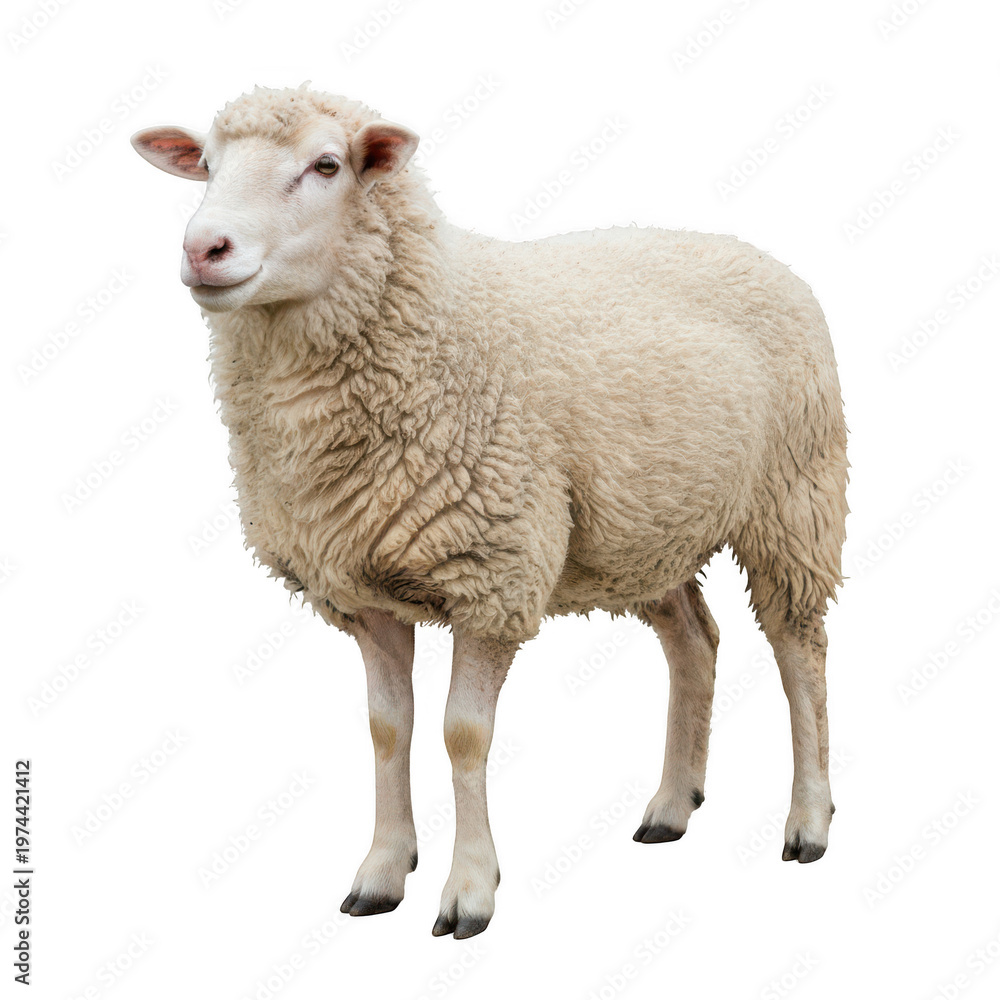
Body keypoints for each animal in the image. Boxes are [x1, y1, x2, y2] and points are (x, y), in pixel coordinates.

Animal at [131, 84, 849, 939]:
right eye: (206, 164)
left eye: (326, 165)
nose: (204, 248)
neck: (432, 325)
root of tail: (750, 250)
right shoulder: (365, 594)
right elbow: (388, 730)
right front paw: (382, 872)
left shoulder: (491, 575)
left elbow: (462, 734)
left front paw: (470, 890)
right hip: (645, 528)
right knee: (694, 642)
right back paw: (672, 806)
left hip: (794, 497)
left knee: (800, 654)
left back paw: (809, 821)